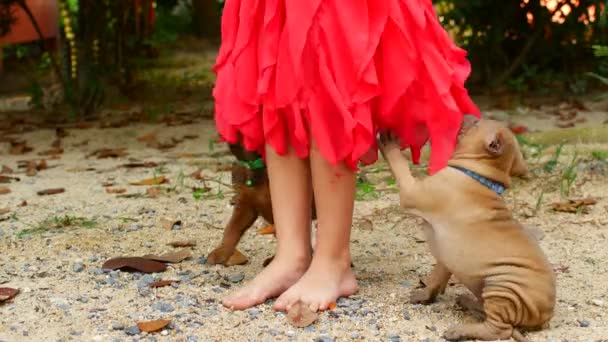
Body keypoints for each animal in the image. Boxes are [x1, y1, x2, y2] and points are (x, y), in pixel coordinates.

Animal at [380, 116, 556, 340]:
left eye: (477, 123)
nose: (468, 116)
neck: (479, 174)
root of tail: (544, 318)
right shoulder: (445, 258)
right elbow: (435, 279)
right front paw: (424, 295)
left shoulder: (412, 191)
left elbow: (399, 165)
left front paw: (389, 144)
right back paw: (467, 301)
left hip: (502, 288)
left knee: (499, 329)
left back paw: (460, 330)